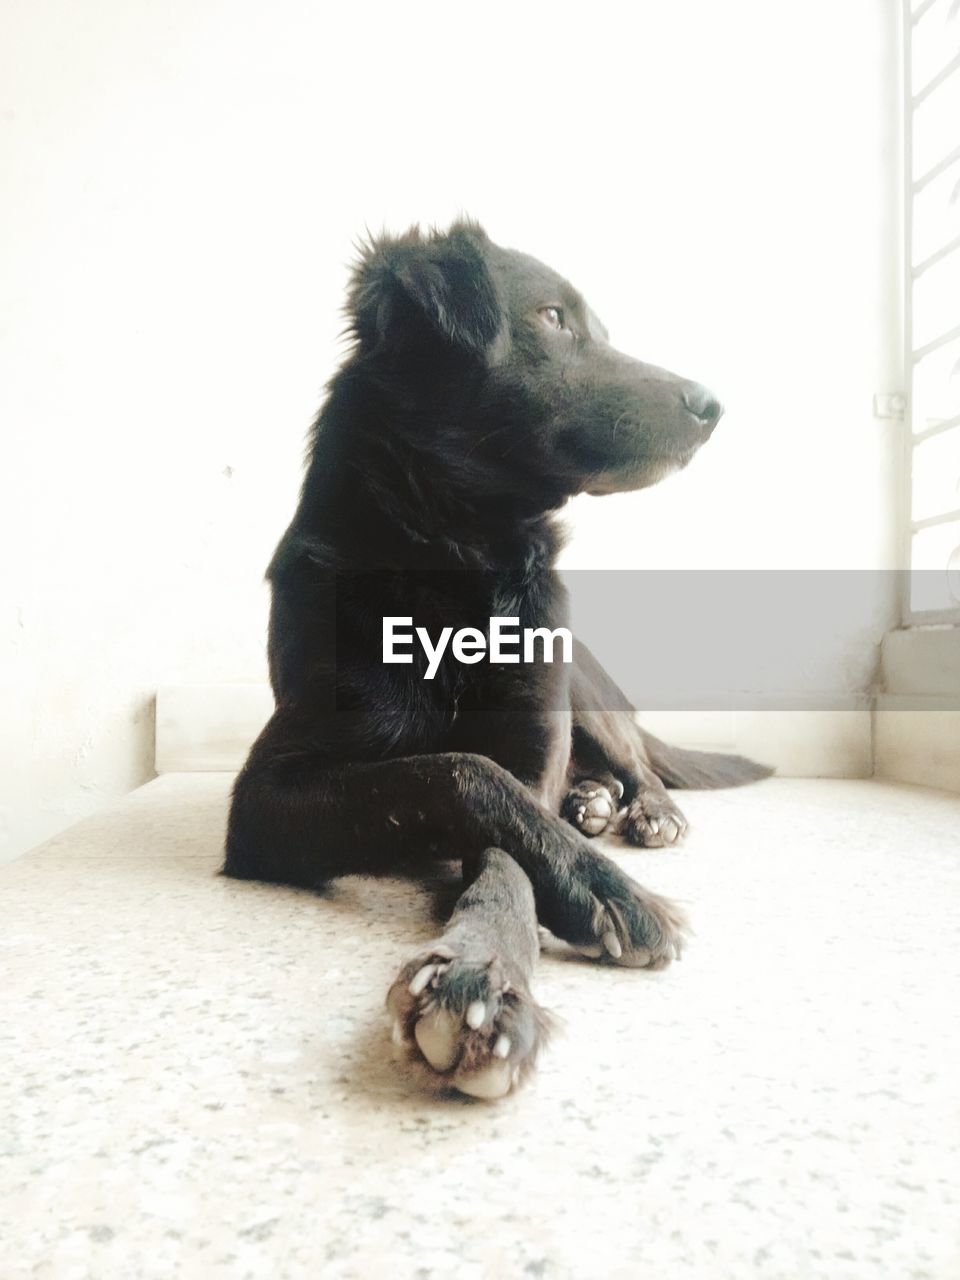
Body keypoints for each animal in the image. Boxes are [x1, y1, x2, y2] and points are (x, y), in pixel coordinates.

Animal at [221, 220, 773, 1100]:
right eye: (552, 318)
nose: (712, 405)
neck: (456, 553)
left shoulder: (532, 741)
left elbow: (508, 840)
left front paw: (486, 970)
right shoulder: (265, 797)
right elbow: (458, 773)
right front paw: (588, 889)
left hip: (584, 676)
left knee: (635, 761)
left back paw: (641, 809)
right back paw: (593, 805)